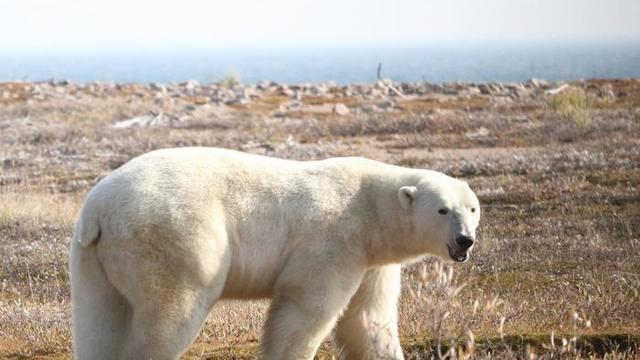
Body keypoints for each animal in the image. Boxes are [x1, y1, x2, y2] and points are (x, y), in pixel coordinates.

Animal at [70, 147, 480, 360]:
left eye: (472, 208)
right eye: (442, 209)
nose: (465, 241)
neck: (370, 207)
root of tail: (99, 210)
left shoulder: (372, 260)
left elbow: (368, 320)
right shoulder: (334, 240)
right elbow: (306, 310)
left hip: (93, 260)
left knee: (99, 321)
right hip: (174, 239)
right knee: (169, 314)